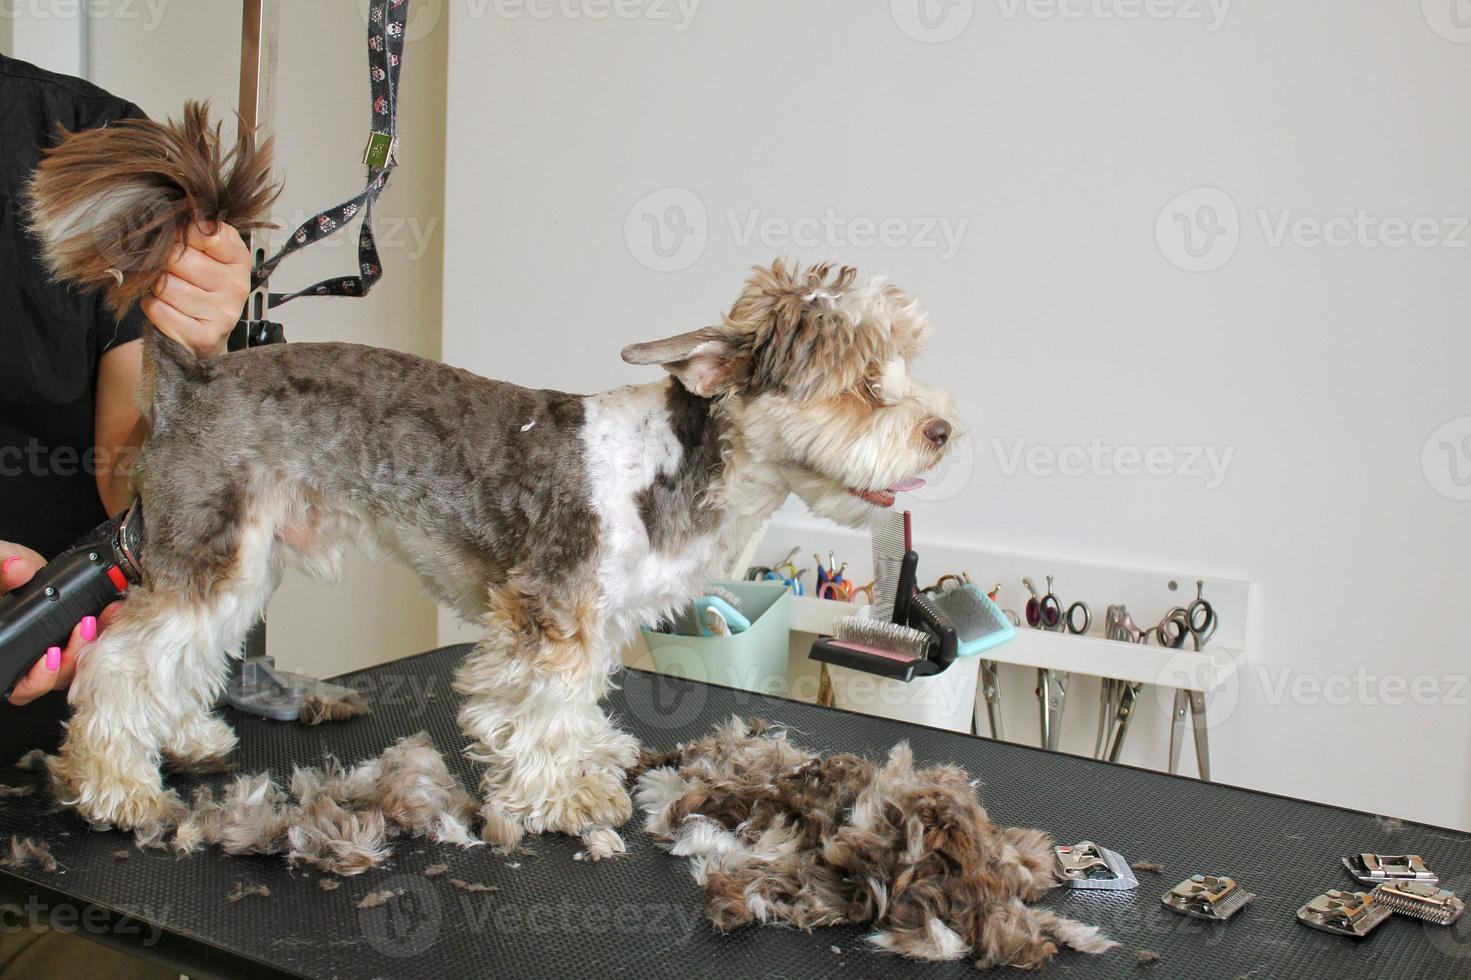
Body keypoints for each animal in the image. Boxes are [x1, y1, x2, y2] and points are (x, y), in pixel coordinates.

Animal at [31, 105, 964, 853]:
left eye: (905, 362)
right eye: (861, 382)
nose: (943, 430)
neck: (678, 465)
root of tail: (194, 374)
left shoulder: (595, 620)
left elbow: (579, 702)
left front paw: (592, 756)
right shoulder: (545, 614)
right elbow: (536, 710)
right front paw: (563, 797)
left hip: (236, 558)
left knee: (178, 654)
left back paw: (182, 739)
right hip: (210, 547)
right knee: (114, 660)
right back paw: (116, 790)